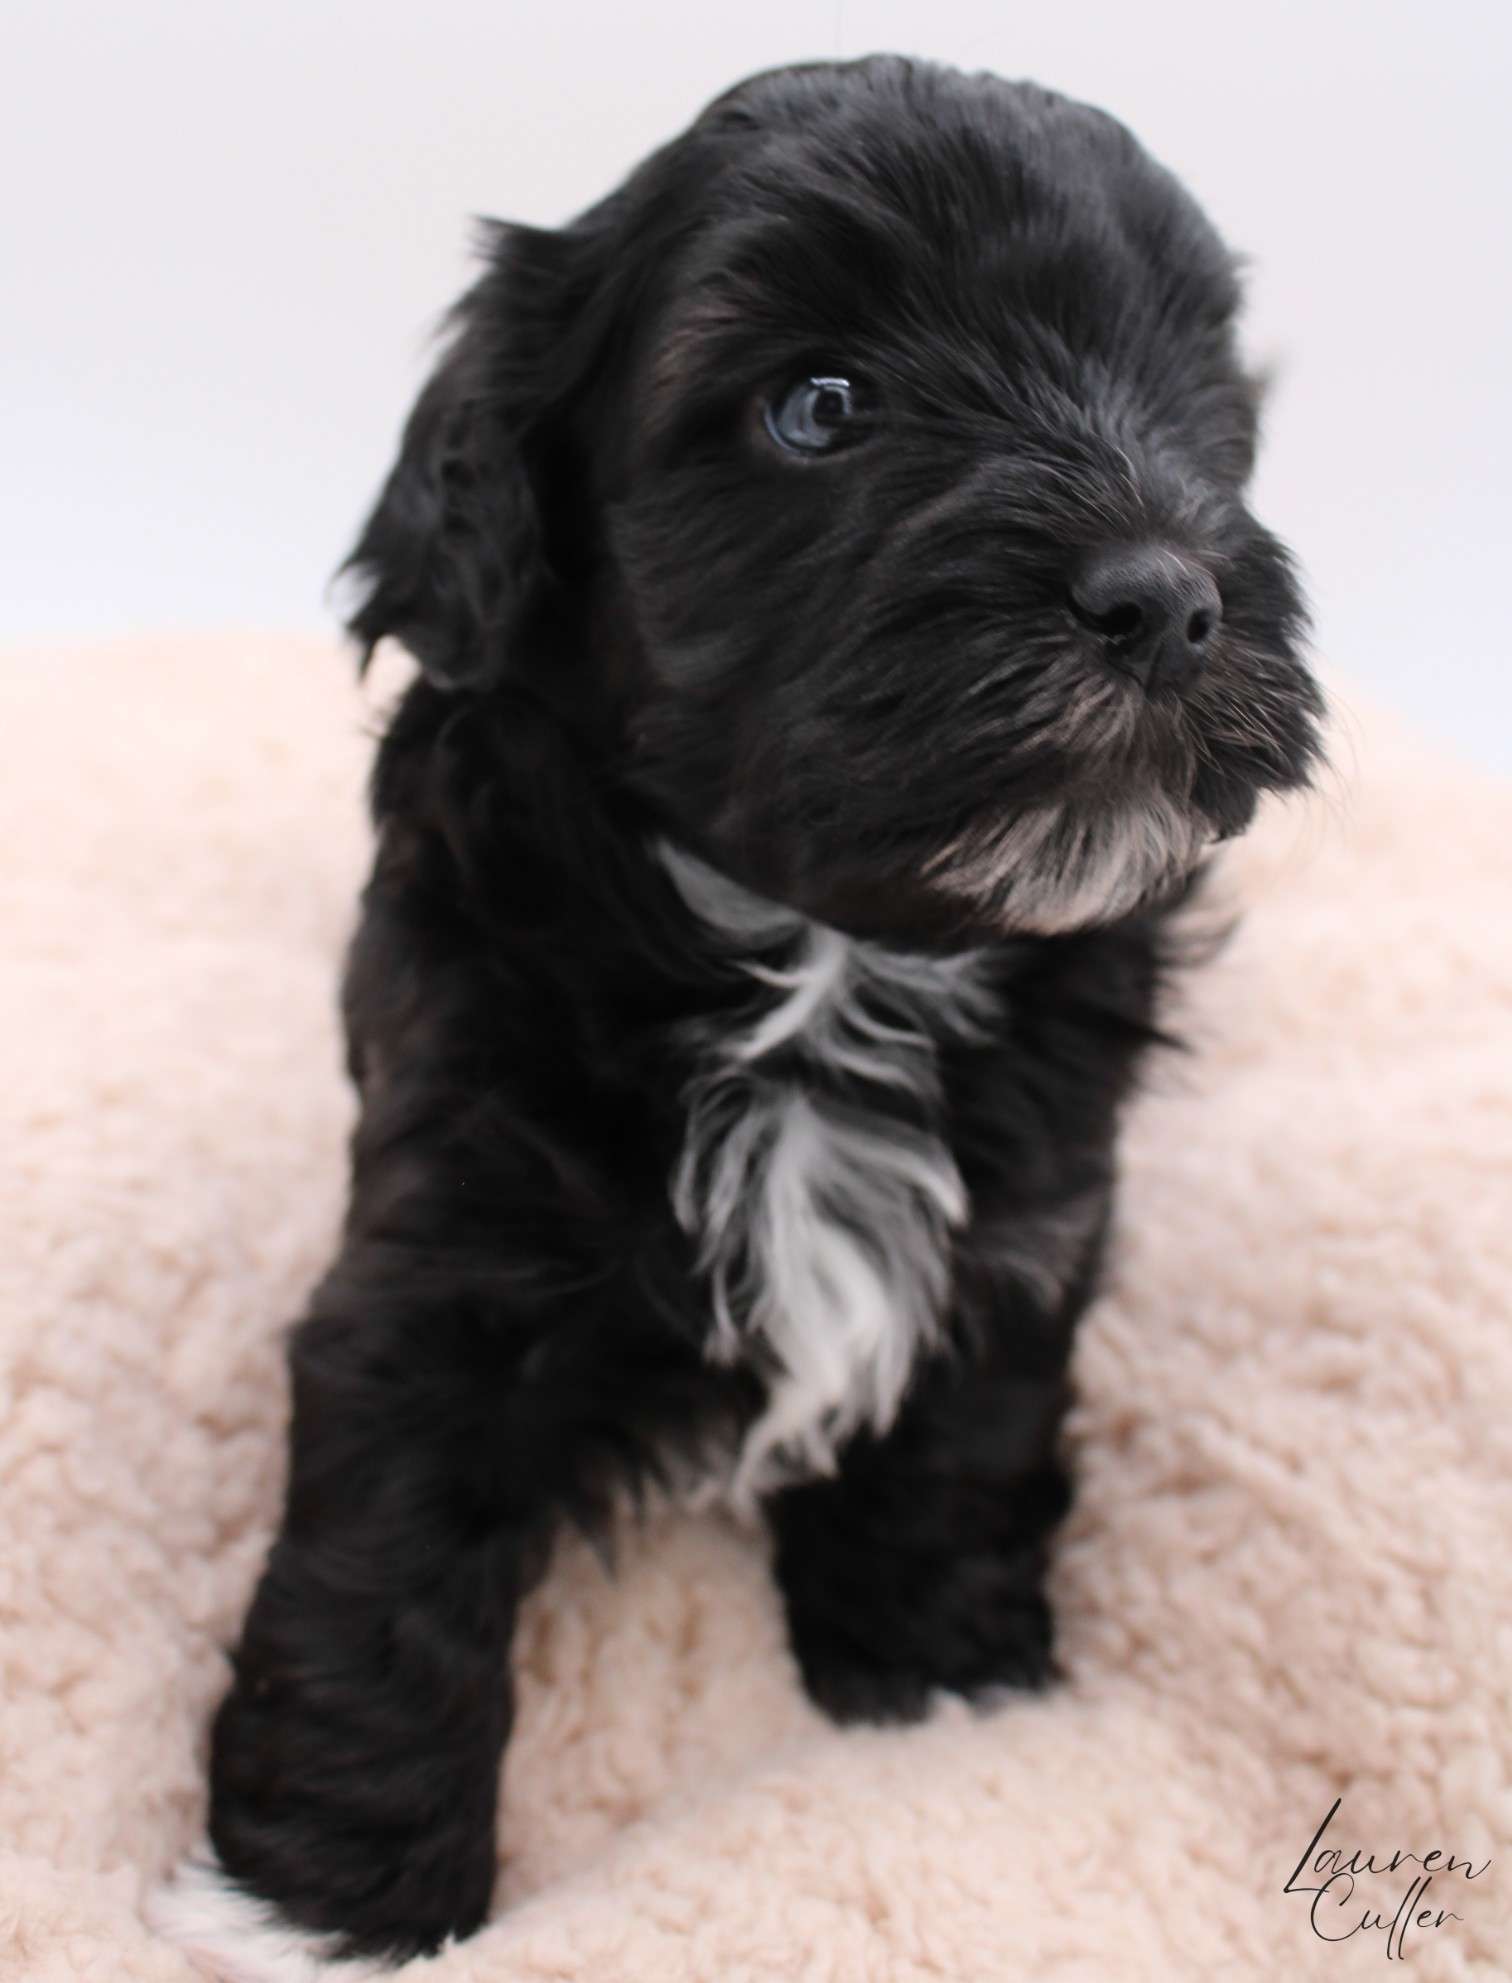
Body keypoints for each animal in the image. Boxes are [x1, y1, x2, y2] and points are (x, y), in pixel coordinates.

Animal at [153, 54, 1324, 1974]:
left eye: (1192, 395)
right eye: (819, 406)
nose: (1164, 592)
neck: (828, 957)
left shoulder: (1025, 1229)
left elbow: (959, 1447)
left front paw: (935, 1697)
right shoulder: (440, 1241)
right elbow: (384, 1554)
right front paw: (321, 1901)